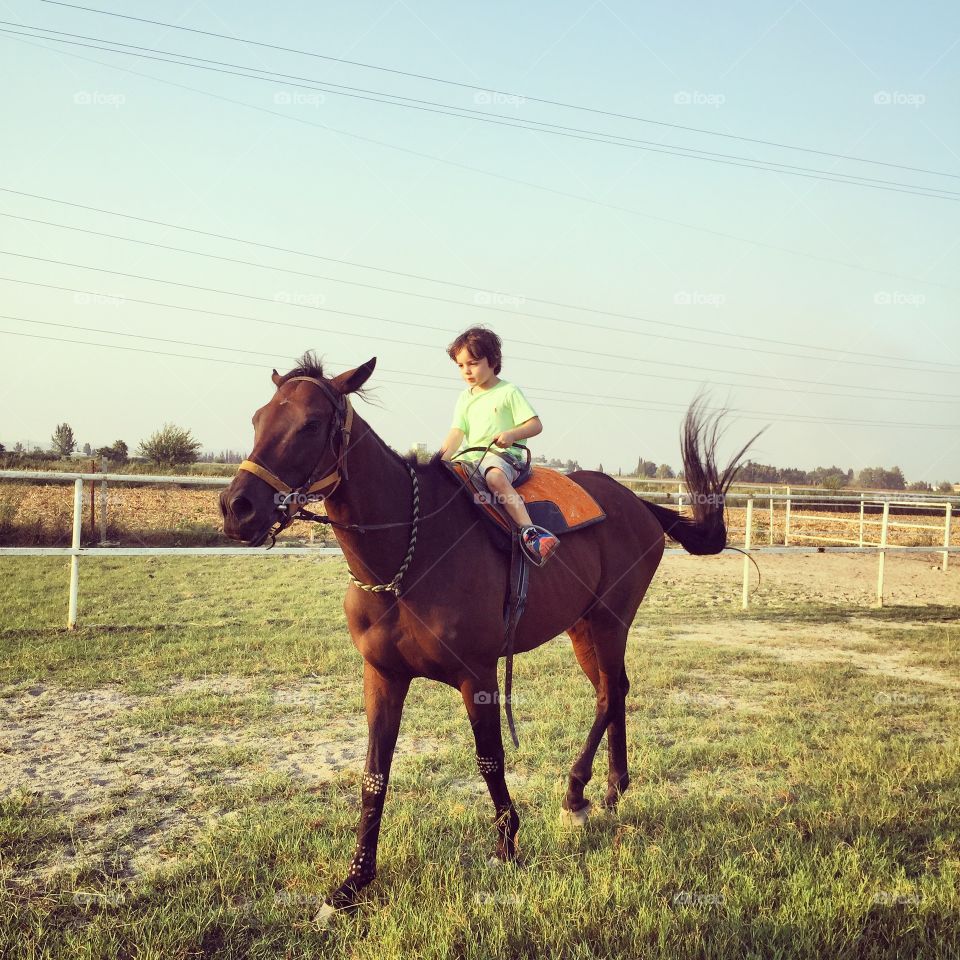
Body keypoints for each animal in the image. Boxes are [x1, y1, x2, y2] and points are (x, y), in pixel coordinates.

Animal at [218, 353, 755, 920]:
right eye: (258, 419)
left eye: (311, 423)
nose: (237, 507)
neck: (409, 556)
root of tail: (637, 503)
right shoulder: (382, 676)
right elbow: (373, 777)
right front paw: (351, 885)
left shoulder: (477, 675)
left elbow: (490, 759)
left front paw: (506, 847)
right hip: (582, 627)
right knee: (614, 692)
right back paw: (609, 792)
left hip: (611, 621)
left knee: (611, 694)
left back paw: (577, 795)